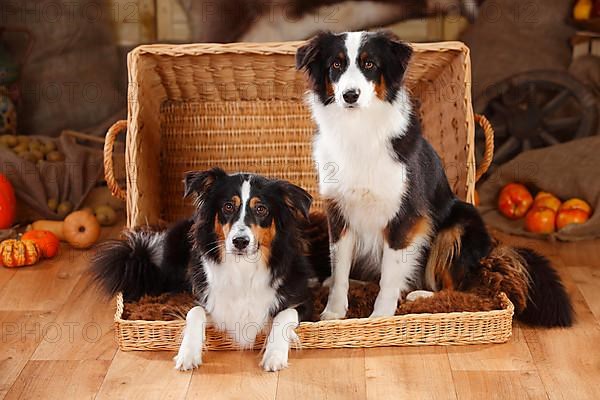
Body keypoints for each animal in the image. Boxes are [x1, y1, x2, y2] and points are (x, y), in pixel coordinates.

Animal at [91, 167, 326, 370]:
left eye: (261, 209)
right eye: (228, 206)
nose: (240, 242)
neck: (243, 268)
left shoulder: (304, 302)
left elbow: (283, 316)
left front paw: (274, 356)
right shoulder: (208, 299)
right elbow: (193, 313)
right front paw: (187, 354)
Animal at [298, 30, 576, 324]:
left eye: (369, 64)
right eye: (336, 65)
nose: (350, 95)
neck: (358, 127)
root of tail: (492, 252)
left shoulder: (406, 216)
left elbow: (390, 275)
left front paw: (382, 316)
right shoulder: (338, 213)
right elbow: (340, 268)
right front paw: (333, 311)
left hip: (460, 222)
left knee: (463, 288)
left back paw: (422, 296)